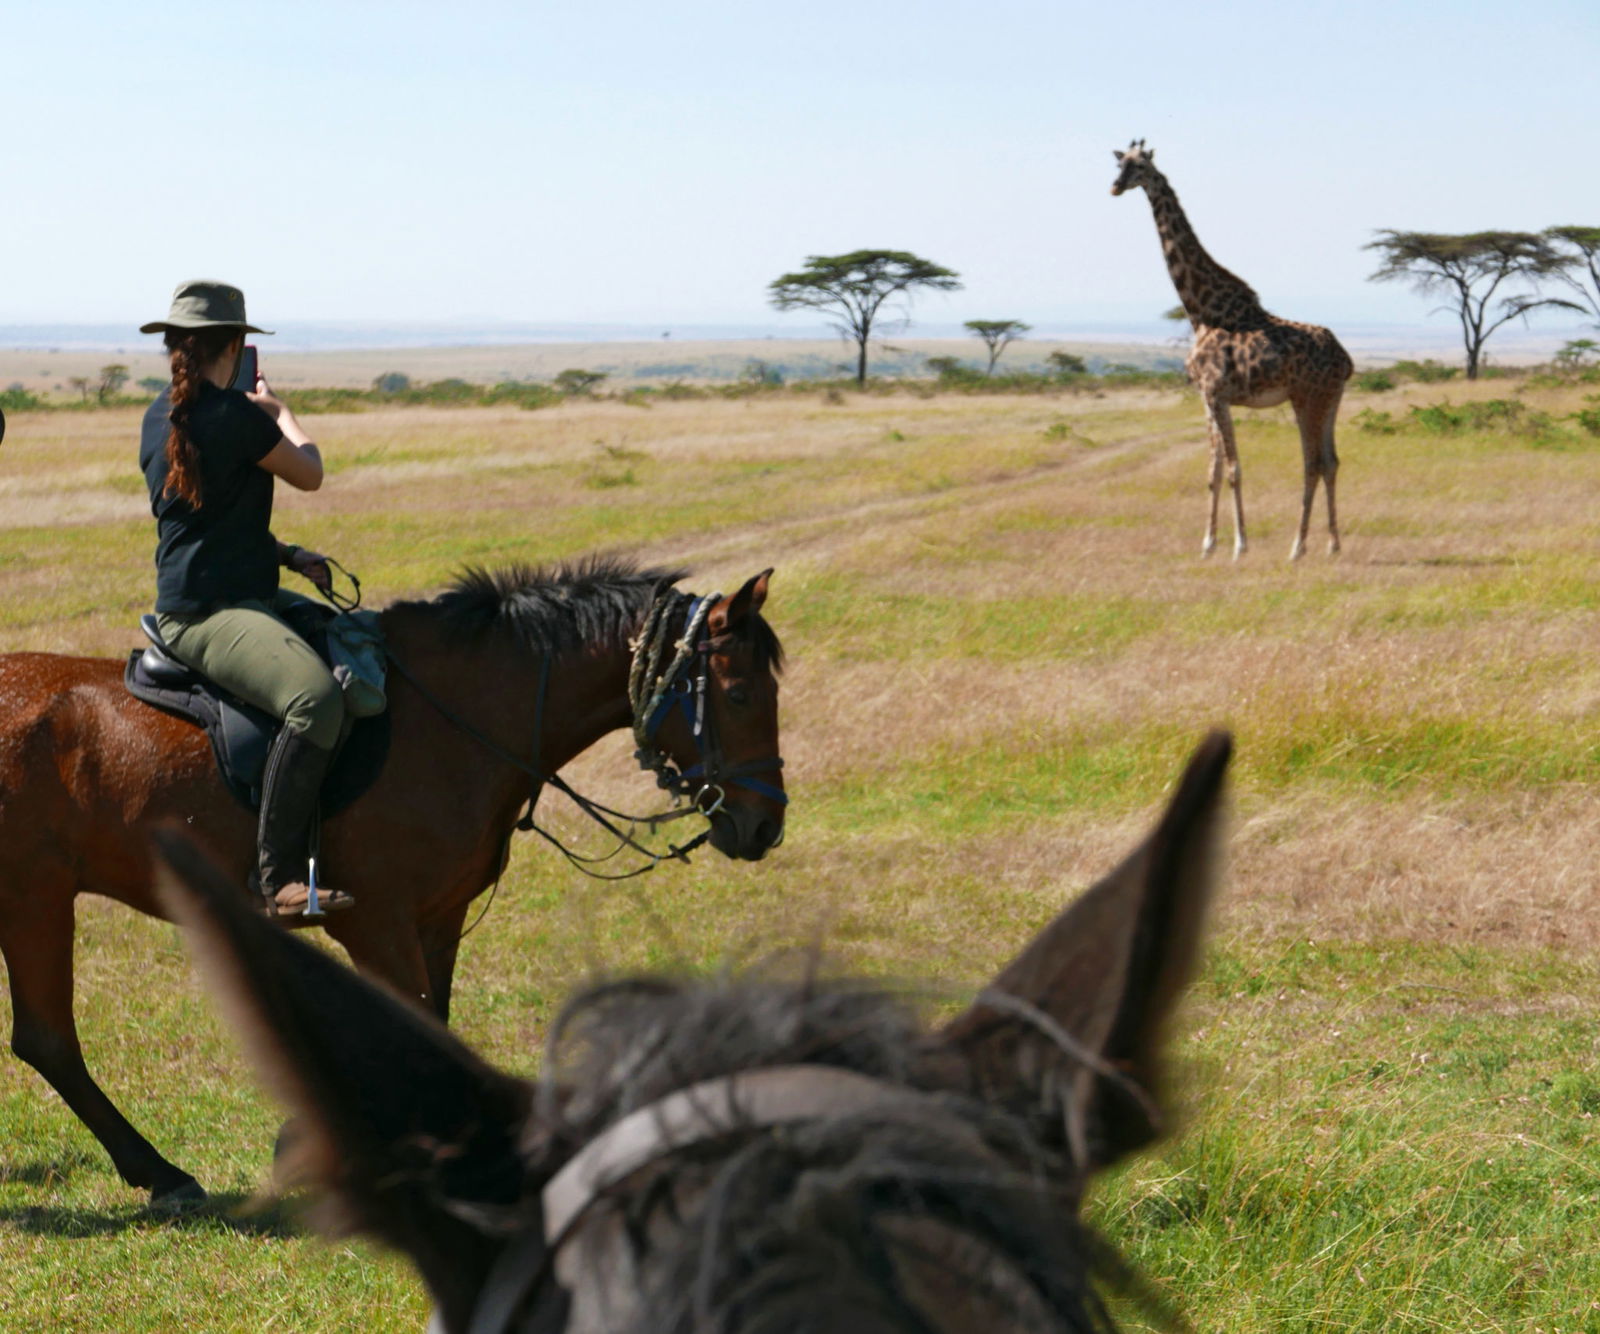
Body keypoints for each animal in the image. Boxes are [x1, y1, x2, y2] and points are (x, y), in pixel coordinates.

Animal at [0, 557, 786, 1205]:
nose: (765, 826)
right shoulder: (376, 921)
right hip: (34, 896)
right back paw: (160, 1173)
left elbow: (432, 1025)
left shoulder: (436, 920)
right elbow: (407, 1019)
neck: (454, 721)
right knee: (49, 1040)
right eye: (740, 695)